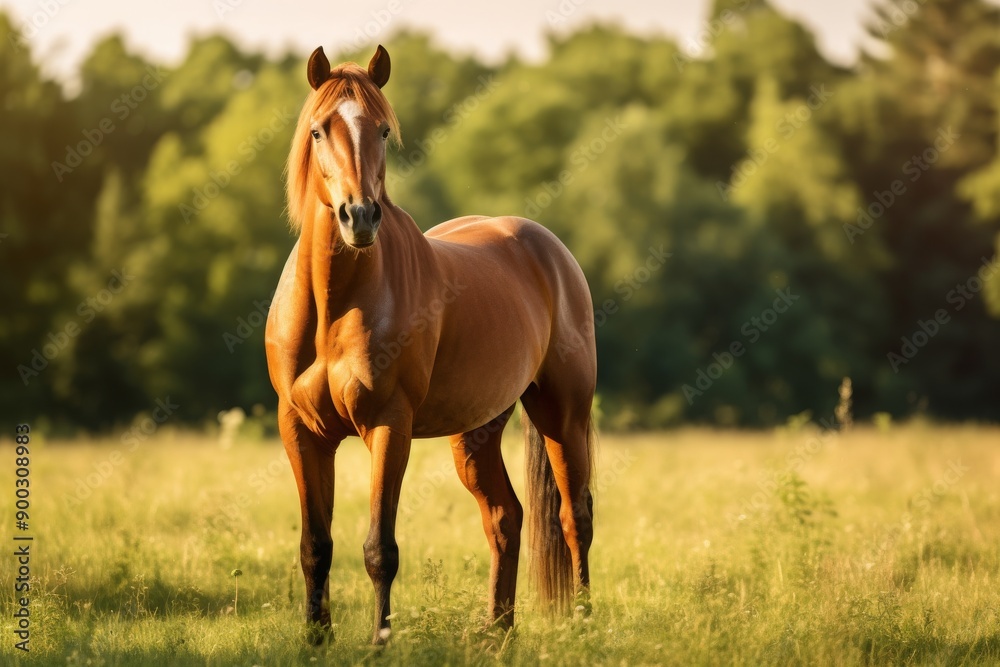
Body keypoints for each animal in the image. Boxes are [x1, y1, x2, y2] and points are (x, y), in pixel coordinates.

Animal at [265, 44, 596, 645]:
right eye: (320, 130)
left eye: (382, 128)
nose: (359, 216)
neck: (334, 306)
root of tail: (548, 248)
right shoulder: (300, 430)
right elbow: (314, 547)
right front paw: (316, 640)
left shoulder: (388, 425)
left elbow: (379, 549)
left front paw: (380, 644)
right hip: (477, 431)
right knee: (505, 517)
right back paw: (497, 633)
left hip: (563, 413)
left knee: (573, 515)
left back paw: (582, 624)